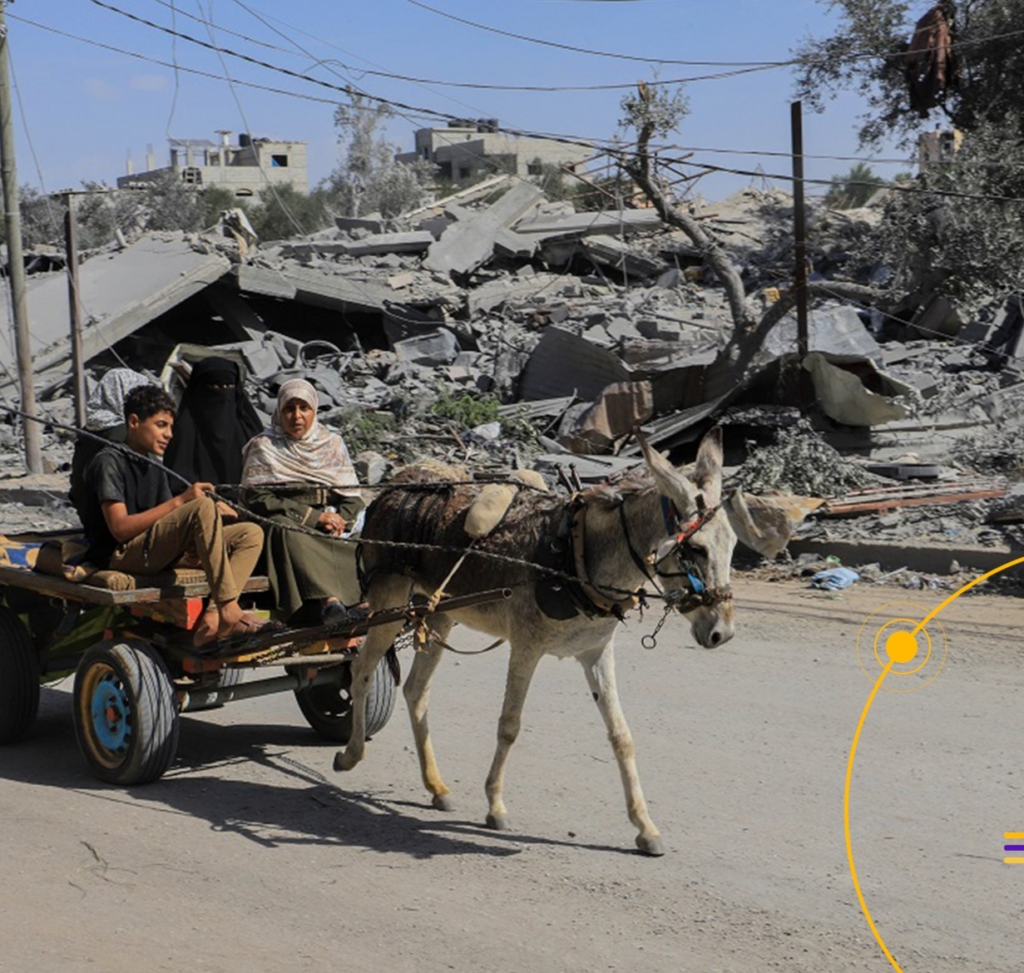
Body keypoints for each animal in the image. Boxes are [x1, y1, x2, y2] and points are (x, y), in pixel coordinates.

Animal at [333, 427, 738, 856]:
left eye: (733, 544)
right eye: (696, 549)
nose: (722, 633)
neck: (577, 557)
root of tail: (396, 485)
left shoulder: (595, 652)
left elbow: (622, 736)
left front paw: (645, 827)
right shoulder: (525, 646)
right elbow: (509, 725)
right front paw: (495, 805)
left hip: (440, 612)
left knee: (415, 689)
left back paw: (437, 787)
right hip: (389, 602)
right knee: (362, 670)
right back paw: (350, 755)